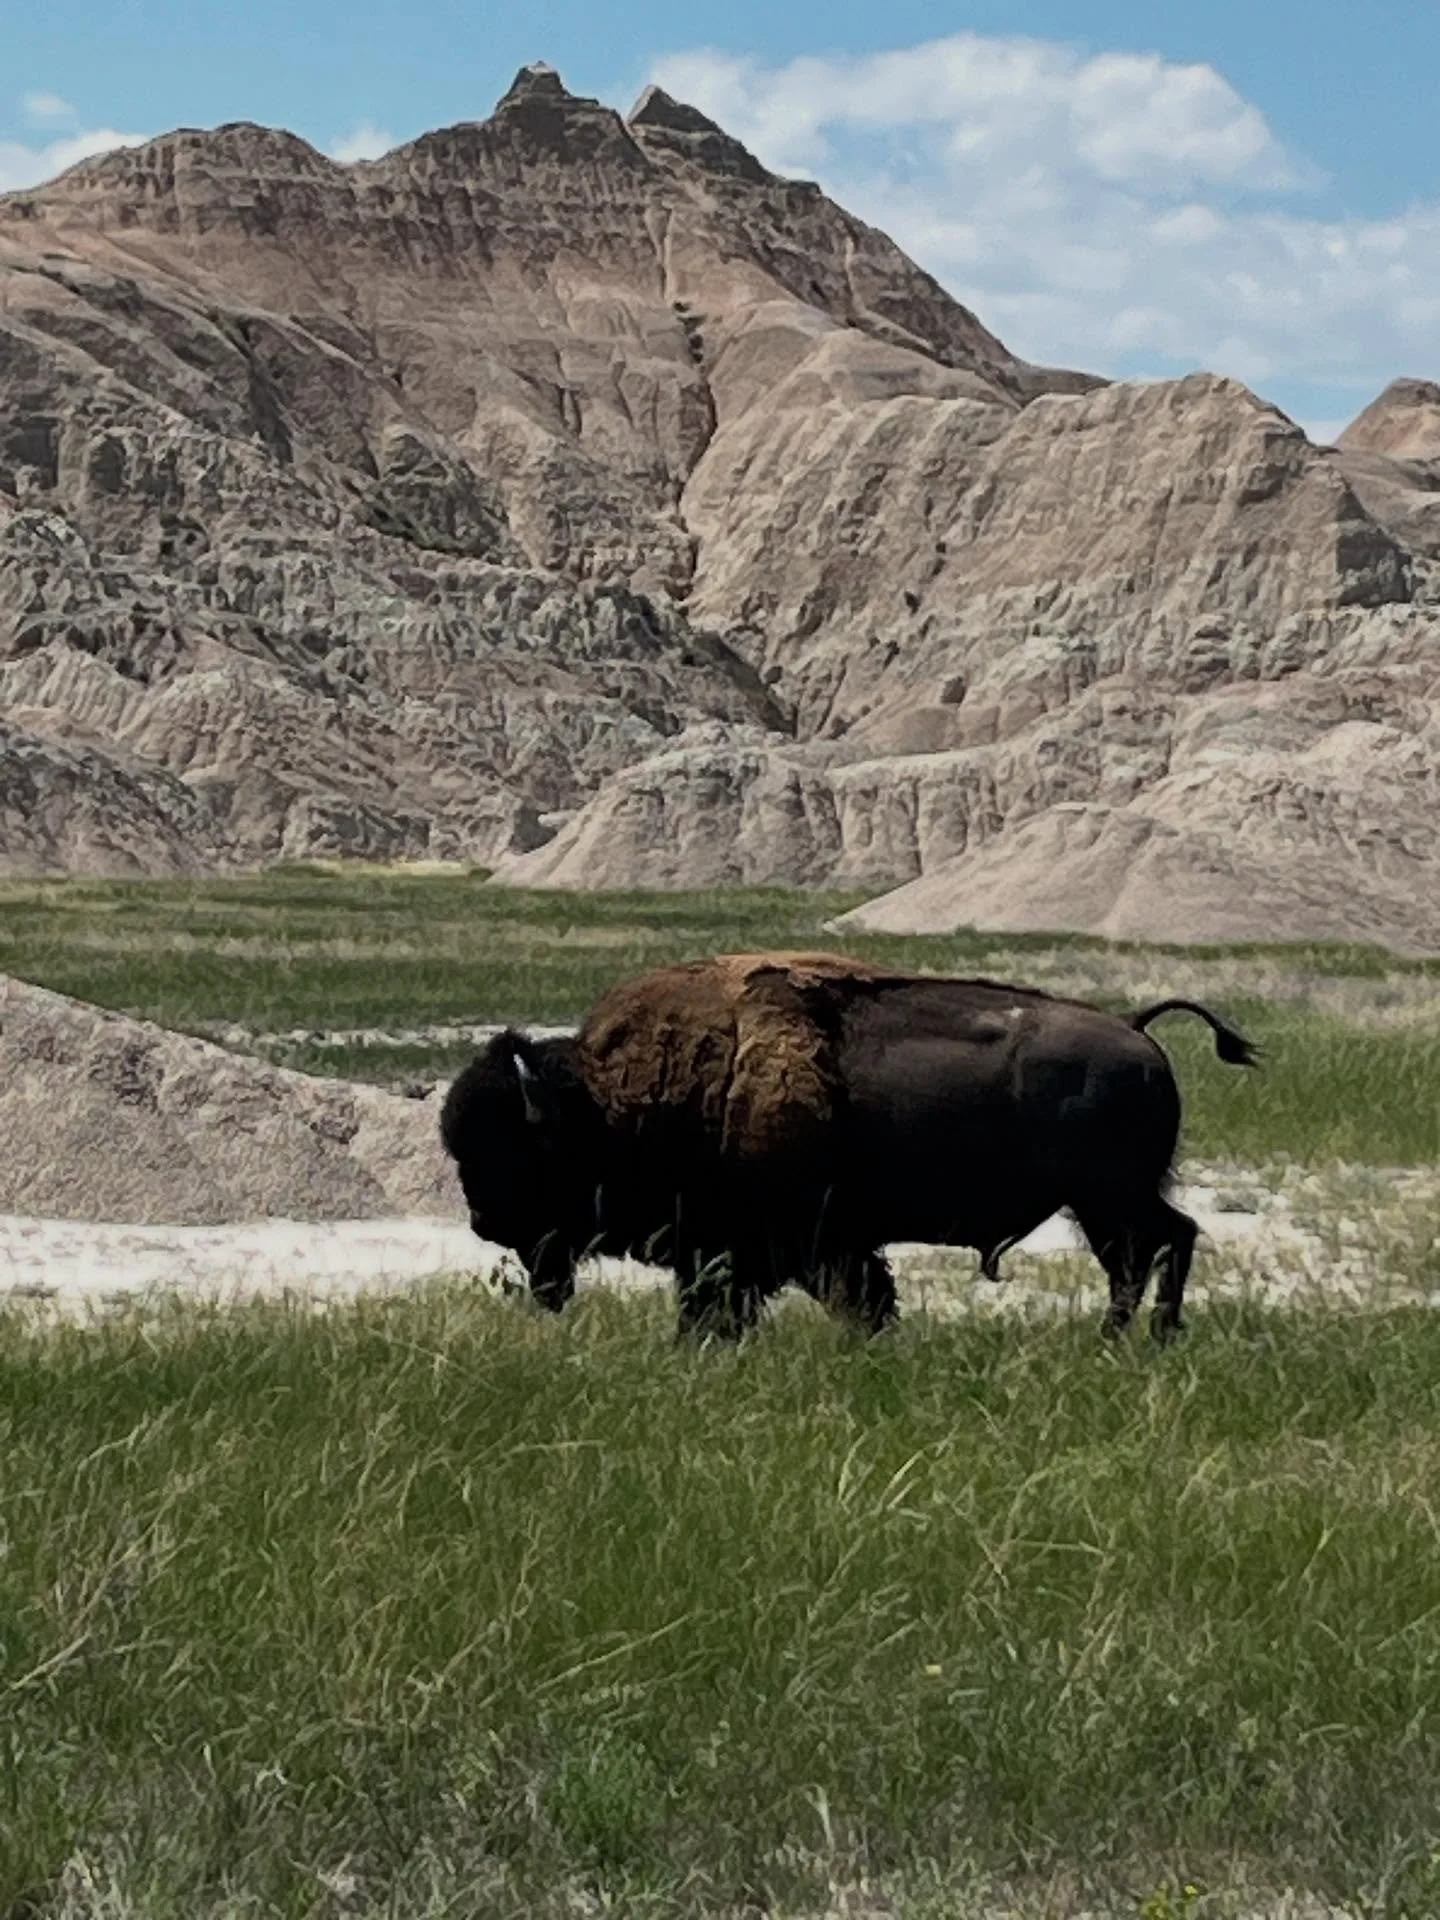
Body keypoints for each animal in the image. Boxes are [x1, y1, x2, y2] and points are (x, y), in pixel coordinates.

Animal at [440, 952, 1257, 1341]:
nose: (481, 1221)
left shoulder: (774, 1248)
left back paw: (1142, 1338)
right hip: (1103, 1203)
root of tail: (1137, 1030)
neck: (606, 1103)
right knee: (1150, 1251)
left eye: (512, 1150)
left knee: (1161, 1246)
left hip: (1106, 1197)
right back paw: (1127, 1339)